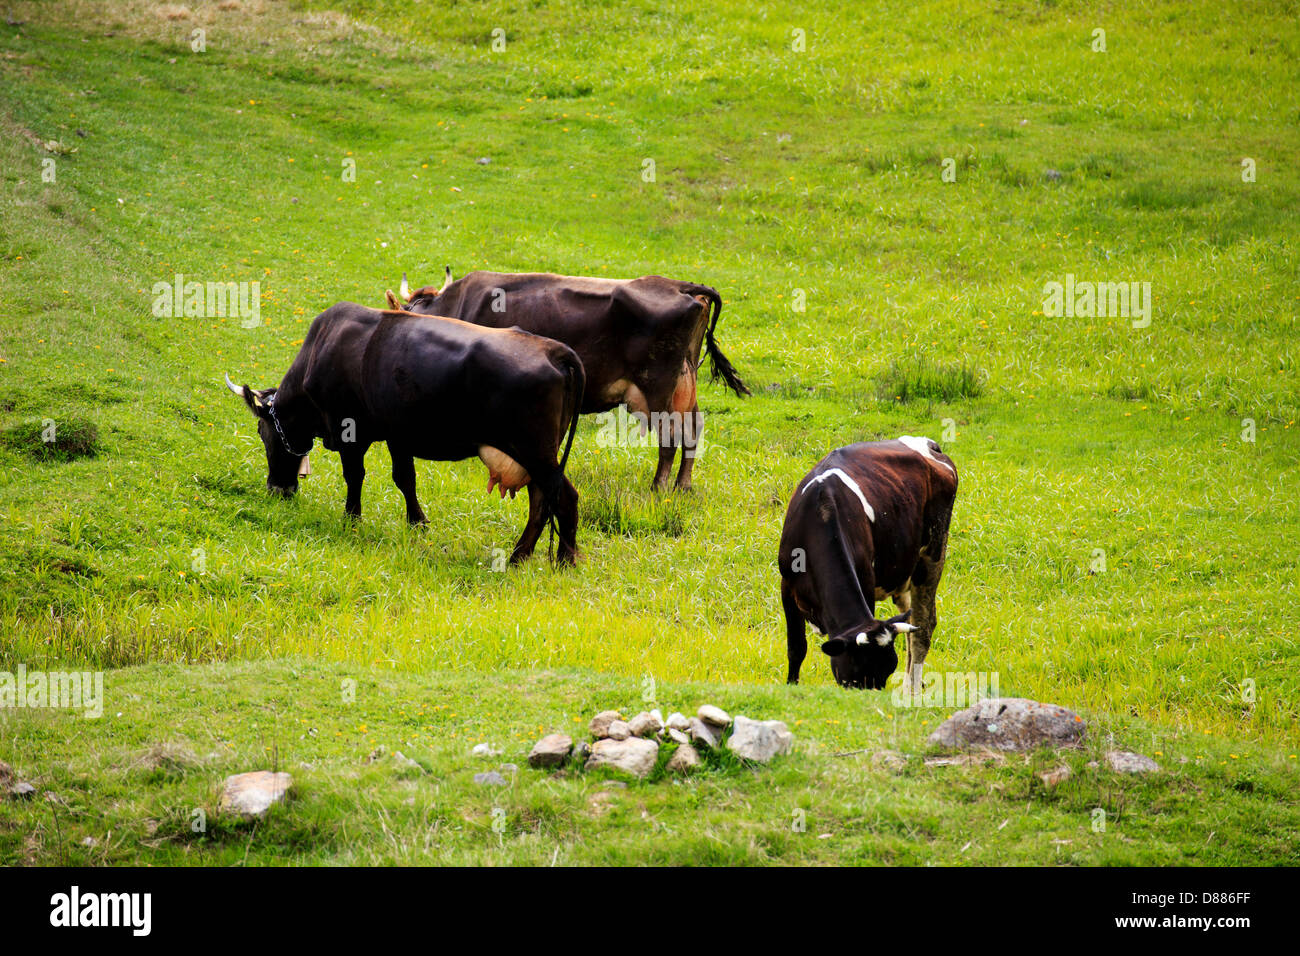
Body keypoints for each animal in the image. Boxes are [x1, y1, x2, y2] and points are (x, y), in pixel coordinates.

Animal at [224, 302, 585, 564]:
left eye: (263, 432)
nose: (276, 489)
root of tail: (552, 349)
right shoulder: (397, 435)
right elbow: (404, 478)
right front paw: (418, 523)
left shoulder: (349, 432)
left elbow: (354, 476)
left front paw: (351, 521)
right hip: (535, 453)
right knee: (541, 502)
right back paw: (519, 557)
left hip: (535, 451)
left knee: (563, 497)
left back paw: (564, 560)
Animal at [385, 268, 749, 491]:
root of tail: (679, 285)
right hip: (685, 384)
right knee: (693, 428)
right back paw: (682, 487)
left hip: (657, 385)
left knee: (670, 435)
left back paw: (658, 488)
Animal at [777, 437, 958, 691]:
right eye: (856, 671)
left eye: (886, 671)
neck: (822, 513)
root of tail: (929, 444)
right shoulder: (787, 586)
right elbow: (796, 648)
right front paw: (791, 684)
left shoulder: (866, 582)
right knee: (912, 623)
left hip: (933, 553)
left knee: (923, 628)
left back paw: (911, 690)